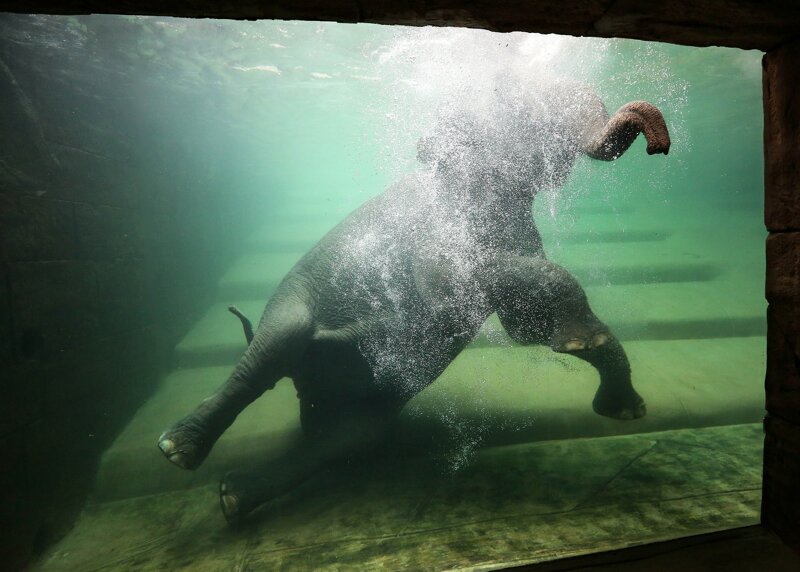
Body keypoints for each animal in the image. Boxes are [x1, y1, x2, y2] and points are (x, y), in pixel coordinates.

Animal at [157, 76, 670, 524]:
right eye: (513, 107)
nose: (658, 145)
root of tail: (307, 392)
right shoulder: (434, 233)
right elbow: (458, 282)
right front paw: (587, 345)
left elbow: (523, 326)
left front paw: (617, 398)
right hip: (291, 299)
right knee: (273, 351)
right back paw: (178, 450)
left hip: (369, 407)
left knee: (347, 439)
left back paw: (232, 497)